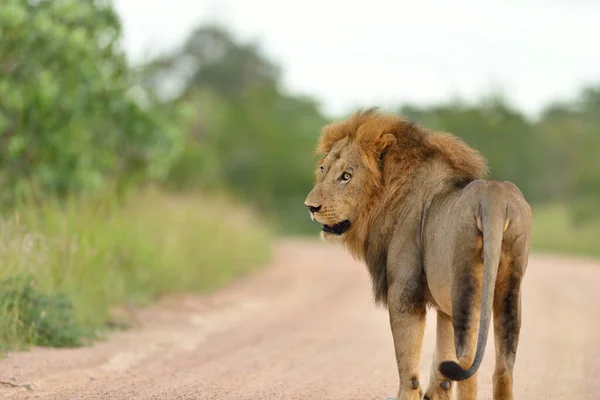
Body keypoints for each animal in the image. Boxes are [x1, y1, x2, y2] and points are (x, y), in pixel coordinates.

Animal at [308, 109, 532, 400]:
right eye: (323, 169)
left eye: (346, 176)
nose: (310, 207)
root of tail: (494, 202)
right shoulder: (445, 305)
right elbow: (443, 361)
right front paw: (435, 394)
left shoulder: (405, 292)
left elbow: (407, 363)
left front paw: (407, 394)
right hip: (508, 295)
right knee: (502, 370)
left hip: (467, 290)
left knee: (469, 370)